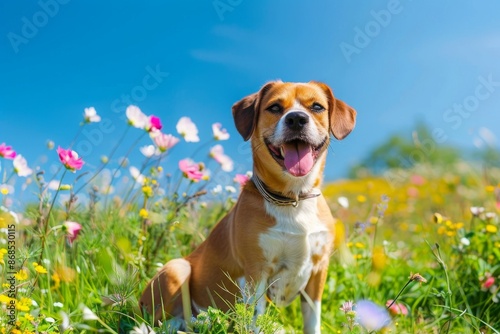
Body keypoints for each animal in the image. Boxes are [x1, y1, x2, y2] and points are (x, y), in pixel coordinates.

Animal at [140, 80, 356, 332]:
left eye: (317, 107)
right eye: (274, 107)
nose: (296, 119)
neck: (293, 199)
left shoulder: (318, 271)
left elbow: (312, 321)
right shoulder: (257, 272)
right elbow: (255, 318)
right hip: (177, 269)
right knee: (163, 323)